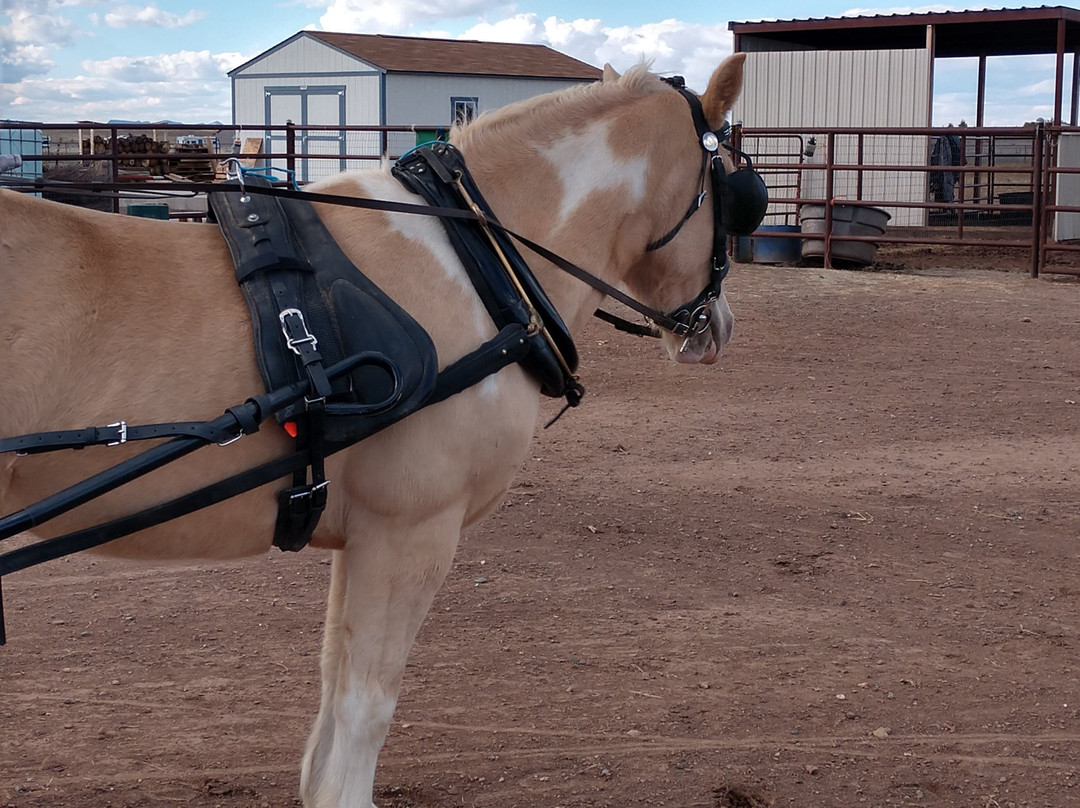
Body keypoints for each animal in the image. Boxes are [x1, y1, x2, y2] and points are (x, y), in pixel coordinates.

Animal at [0, 56, 743, 808]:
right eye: (740, 189)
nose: (718, 327)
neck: (474, 264)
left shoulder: (357, 535)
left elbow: (333, 694)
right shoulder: (409, 529)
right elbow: (366, 708)